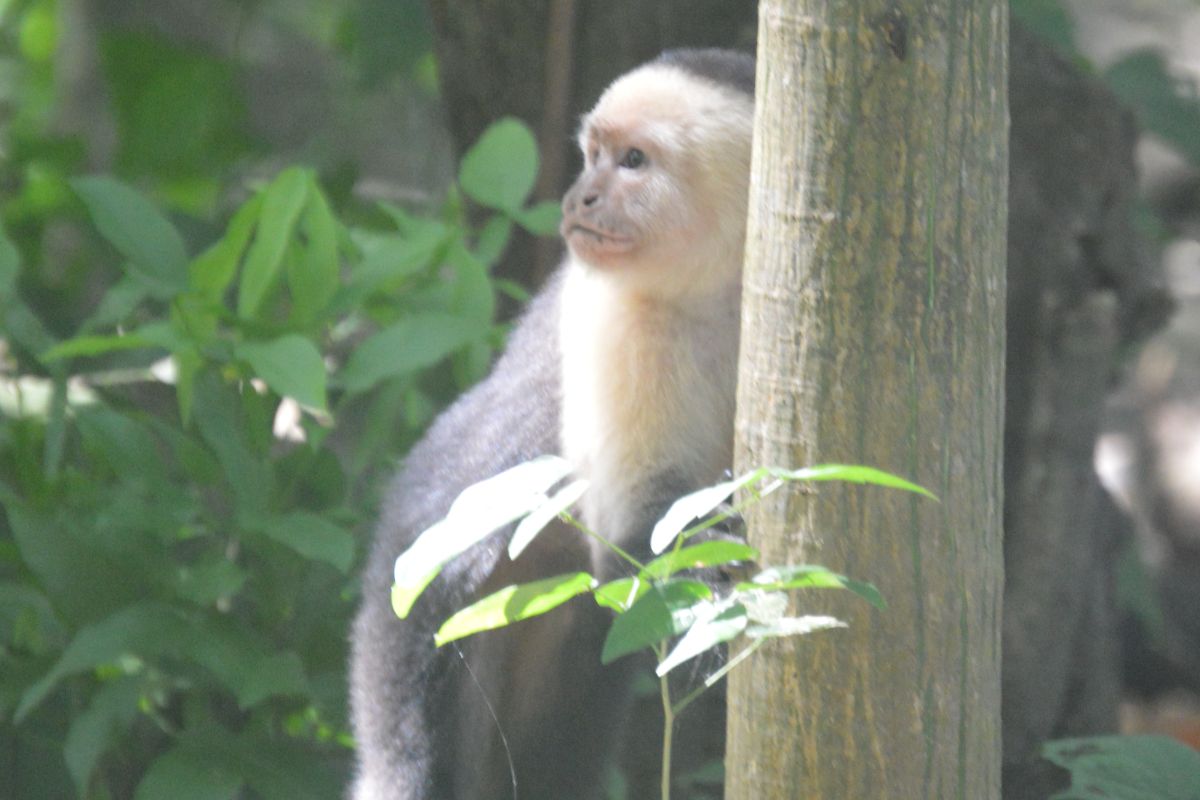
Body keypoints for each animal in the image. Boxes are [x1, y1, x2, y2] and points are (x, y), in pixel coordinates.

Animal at [349, 48, 755, 800]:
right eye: (593, 156)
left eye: (632, 161)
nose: (579, 197)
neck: (724, 290)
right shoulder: (618, 314)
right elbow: (637, 529)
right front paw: (712, 567)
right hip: (415, 586)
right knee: (410, 749)